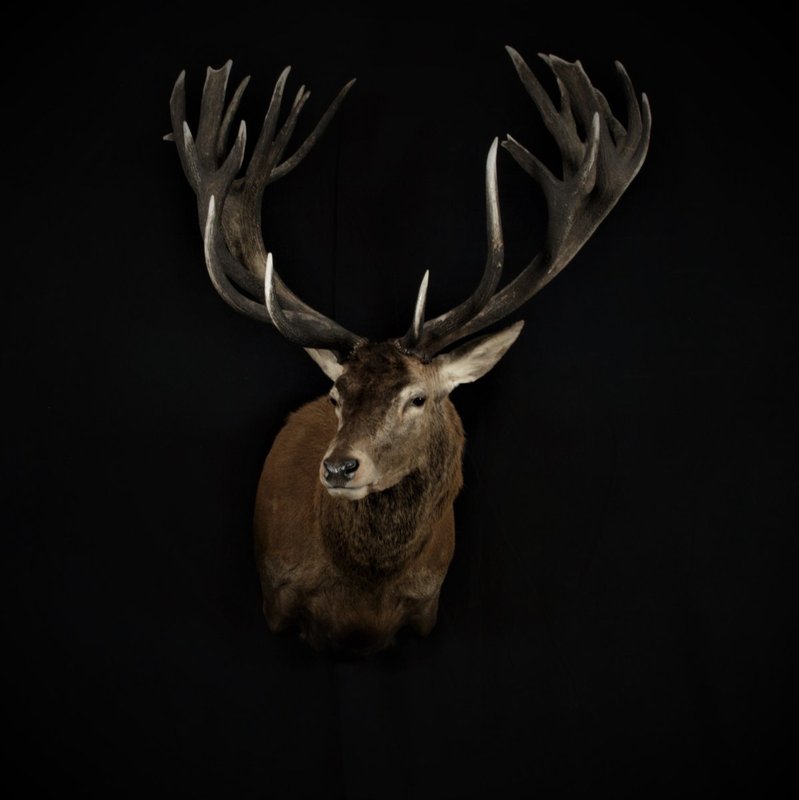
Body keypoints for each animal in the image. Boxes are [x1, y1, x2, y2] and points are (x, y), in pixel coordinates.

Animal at [166, 46, 651, 654]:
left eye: (417, 398)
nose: (339, 467)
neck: (362, 595)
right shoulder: (278, 599)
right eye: (336, 395)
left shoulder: (426, 609)